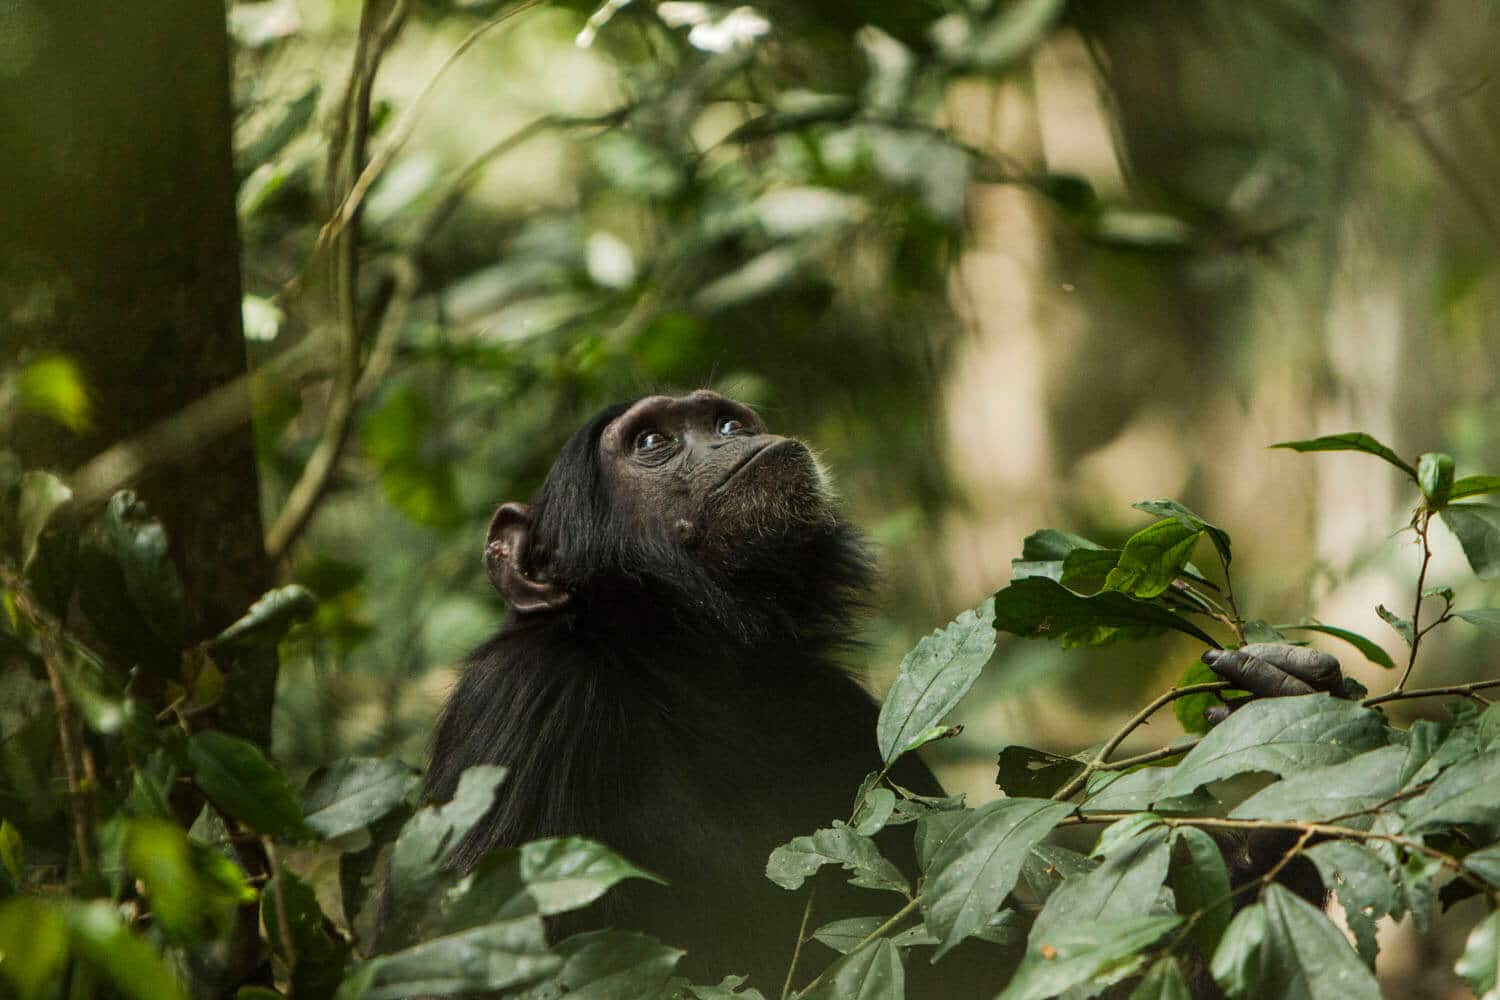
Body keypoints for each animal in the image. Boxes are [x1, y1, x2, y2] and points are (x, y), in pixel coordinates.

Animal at [426, 389, 1350, 995]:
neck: (691, 658)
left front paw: (1280, 739)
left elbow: (969, 952)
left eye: (722, 420)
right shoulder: (518, 710)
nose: (731, 439)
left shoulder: (846, 716)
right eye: (653, 441)